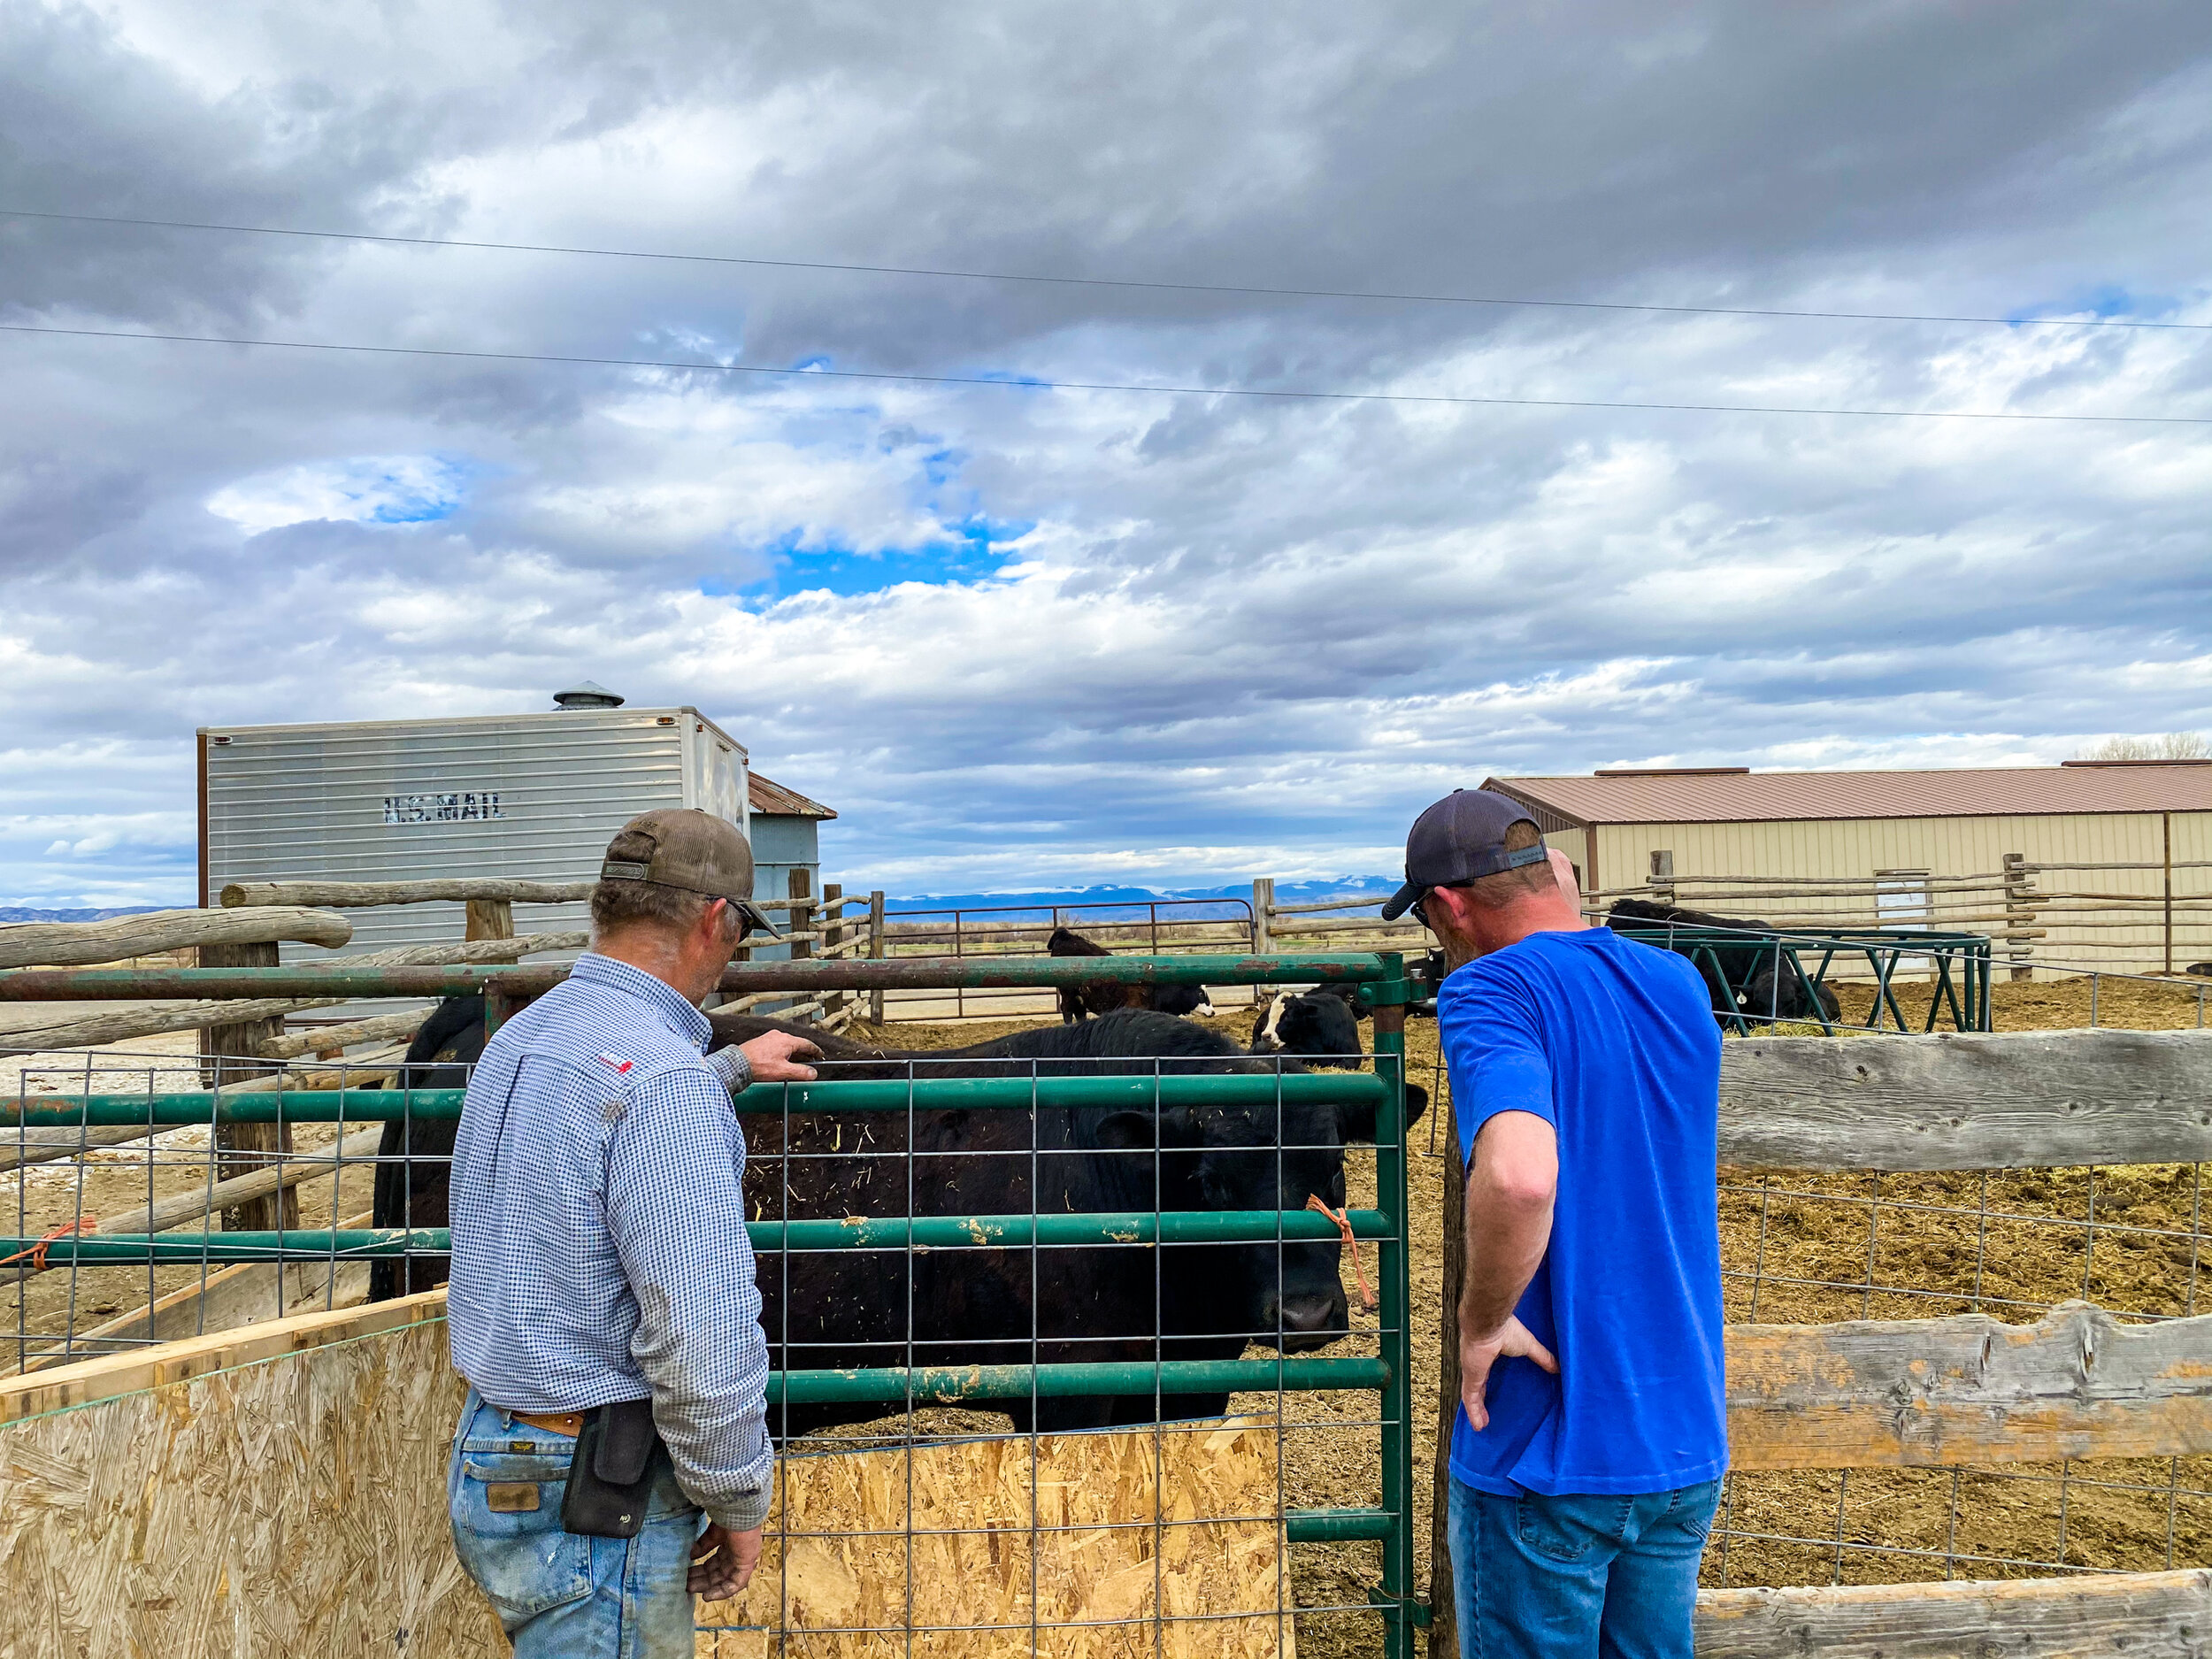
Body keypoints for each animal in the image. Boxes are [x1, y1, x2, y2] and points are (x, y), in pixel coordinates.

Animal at [1046, 925, 1215, 1022]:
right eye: (1200, 993)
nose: (1212, 1012)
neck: (1154, 990)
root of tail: (1066, 936)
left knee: (1080, 1013)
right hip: (1068, 993)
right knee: (1068, 1010)